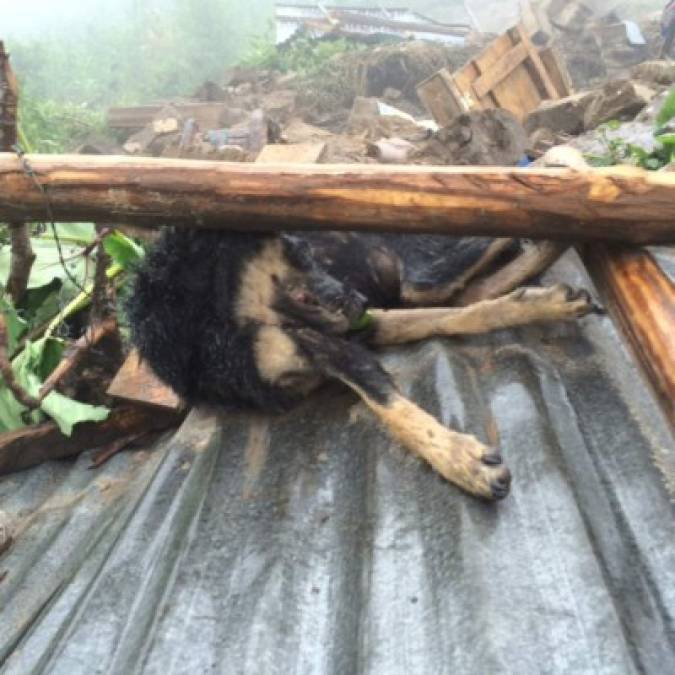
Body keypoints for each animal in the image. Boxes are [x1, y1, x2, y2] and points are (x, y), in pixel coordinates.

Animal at [128, 223, 596, 502]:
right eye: (295, 249)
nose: (358, 298)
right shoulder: (339, 339)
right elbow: (451, 319)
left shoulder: (343, 336)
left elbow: (387, 399)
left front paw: (456, 458)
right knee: (476, 285)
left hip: (418, 276)